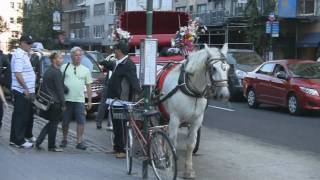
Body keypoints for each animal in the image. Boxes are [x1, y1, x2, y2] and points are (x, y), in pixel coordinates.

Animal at [158, 45, 229, 179]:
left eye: (227, 68)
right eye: (213, 68)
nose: (224, 95)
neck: (191, 90)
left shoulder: (197, 120)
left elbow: (191, 144)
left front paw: (189, 170)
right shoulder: (174, 118)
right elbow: (173, 141)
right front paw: (170, 166)